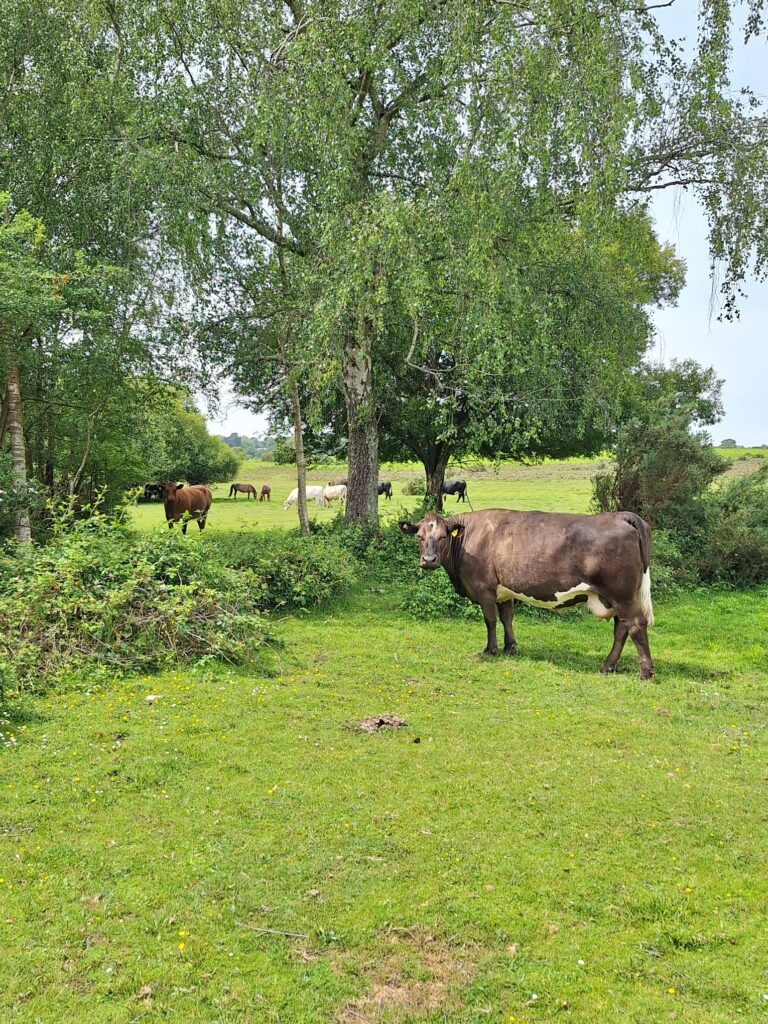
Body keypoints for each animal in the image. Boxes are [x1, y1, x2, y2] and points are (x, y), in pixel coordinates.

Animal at [399, 509, 655, 679]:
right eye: (419, 537)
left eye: (442, 537)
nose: (428, 560)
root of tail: (620, 516)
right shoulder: (504, 591)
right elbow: (507, 618)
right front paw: (510, 647)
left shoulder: (483, 587)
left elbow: (490, 620)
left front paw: (490, 650)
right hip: (616, 597)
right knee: (621, 628)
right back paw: (607, 666)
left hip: (621, 595)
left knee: (635, 624)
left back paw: (646, 672)